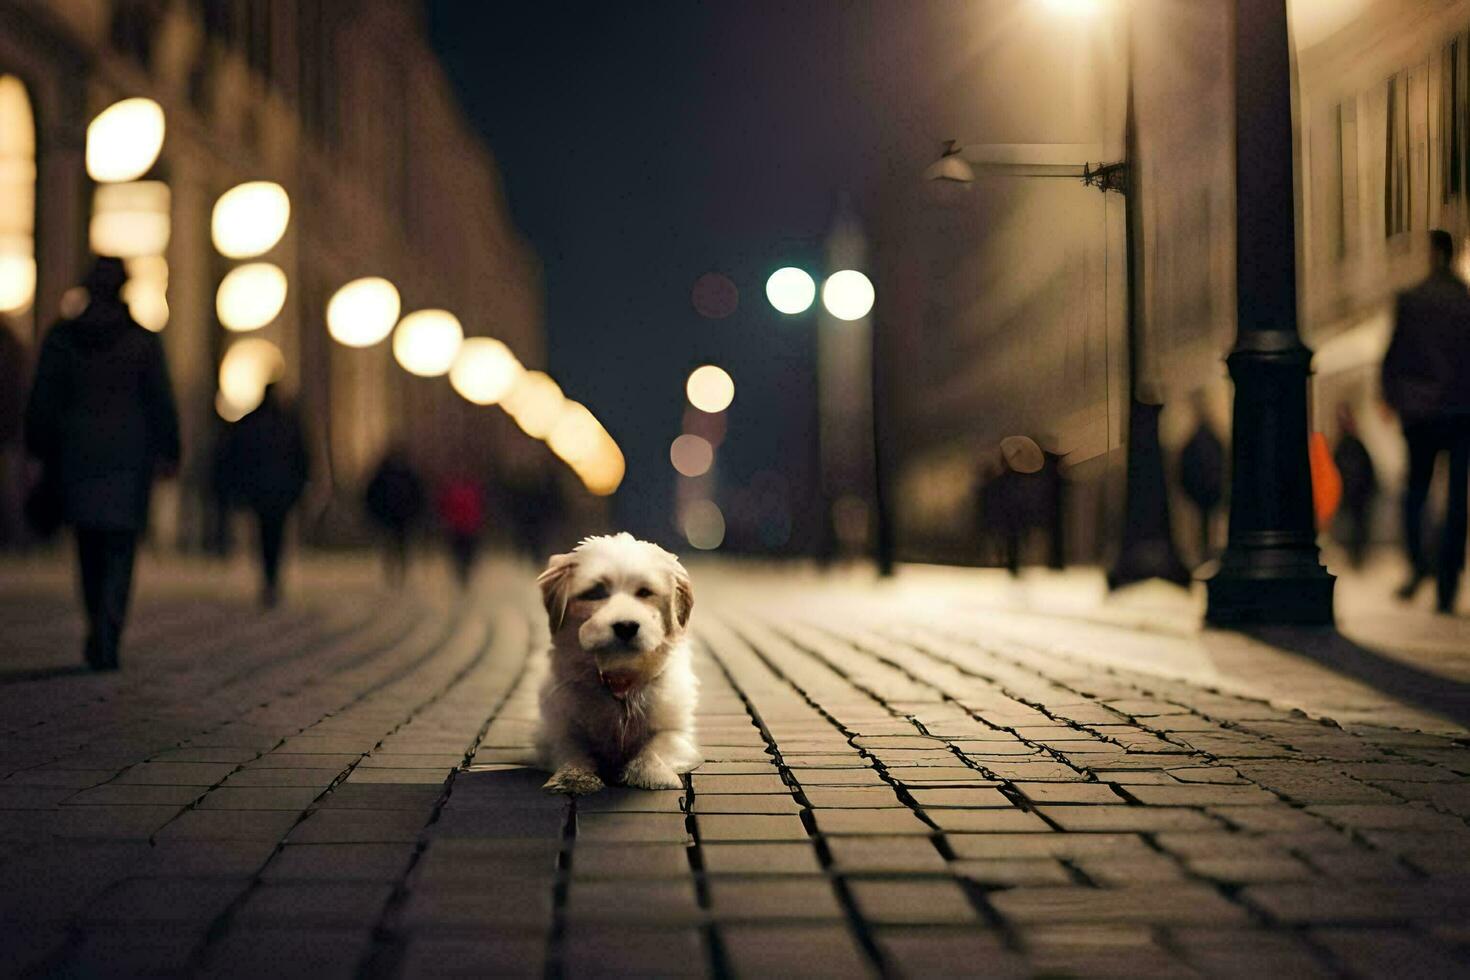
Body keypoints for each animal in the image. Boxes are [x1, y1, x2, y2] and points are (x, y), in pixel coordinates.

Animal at [538, 531, 702, 793]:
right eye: (595, 593)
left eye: (644, 592)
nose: (626, 626)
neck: (621, 677)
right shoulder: (557, 730)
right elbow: (571, 749)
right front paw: (574, 776)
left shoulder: (677, 733)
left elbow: (656, 746)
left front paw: (651, 773)